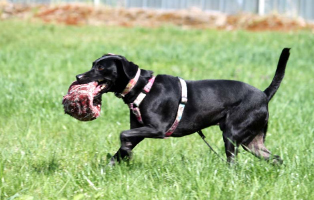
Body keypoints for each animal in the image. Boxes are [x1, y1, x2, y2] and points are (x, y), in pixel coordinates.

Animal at [76, 48, 290, 164]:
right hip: (252, 141)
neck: (142, 88)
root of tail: (264, 95)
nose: (78, 76)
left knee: (233, 162)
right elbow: (120, 149)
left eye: (101, 68)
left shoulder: (157, 129)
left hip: (232, 135)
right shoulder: (140, 130)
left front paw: (126, 152)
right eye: (93, 64)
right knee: (276, 158)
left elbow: (123, 135)